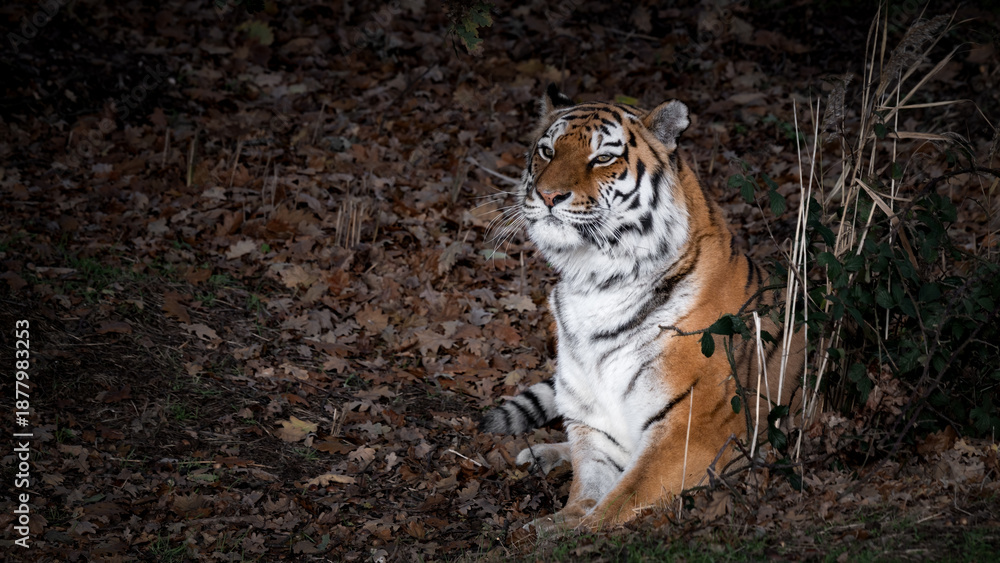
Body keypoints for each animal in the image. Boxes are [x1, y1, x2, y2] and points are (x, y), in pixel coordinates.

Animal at [480, 85, 805, 531]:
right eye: (547, 151)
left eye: (602, 158)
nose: (547, 196)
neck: (595, 284)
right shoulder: (594, 423)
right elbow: (588, 487)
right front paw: (555, 522)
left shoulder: (691, 431)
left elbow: (619, 500)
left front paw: (560, 534)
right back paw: (539, 454)